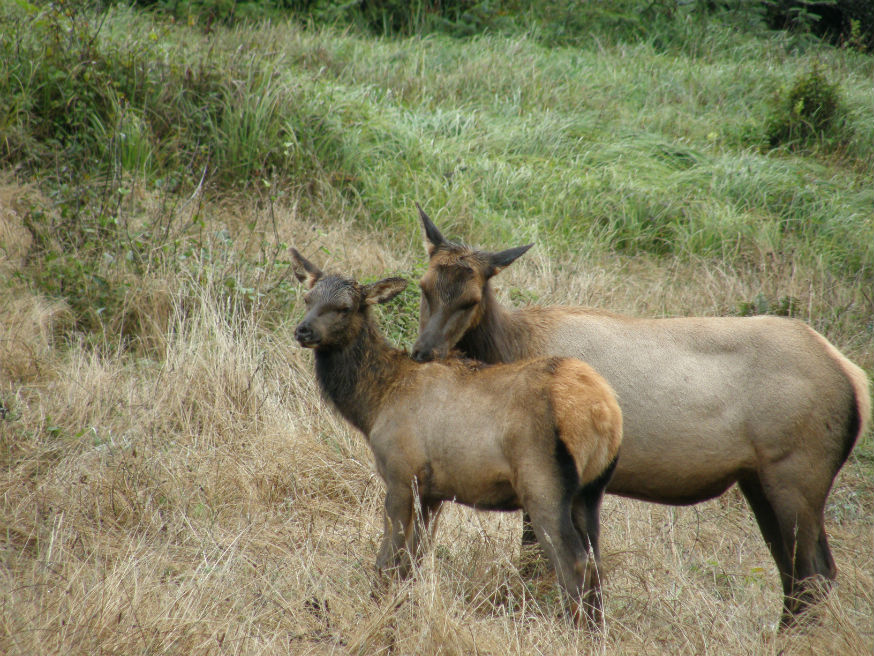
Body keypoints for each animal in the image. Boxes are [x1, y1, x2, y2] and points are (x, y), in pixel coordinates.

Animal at [292, 249, 620, 624]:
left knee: (574, 563)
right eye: (308, 298)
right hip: (591, 490)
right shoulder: (432, 492)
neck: (375, 403)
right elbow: (411, 561)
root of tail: (606, 414)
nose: (303, 330)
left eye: (345, 307)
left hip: (544, 482)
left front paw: (376, 610)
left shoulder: (401, 473)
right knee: (596, 563)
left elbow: (387, 559)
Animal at [410, 205, 872, 624]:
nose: (423, 352)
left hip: (797, 473)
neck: (511, 347)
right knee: (795, 572)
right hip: (759, 478)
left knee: (815, 572)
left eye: (470, 299)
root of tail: (855, 382)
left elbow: (535, 559)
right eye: (423, 286)